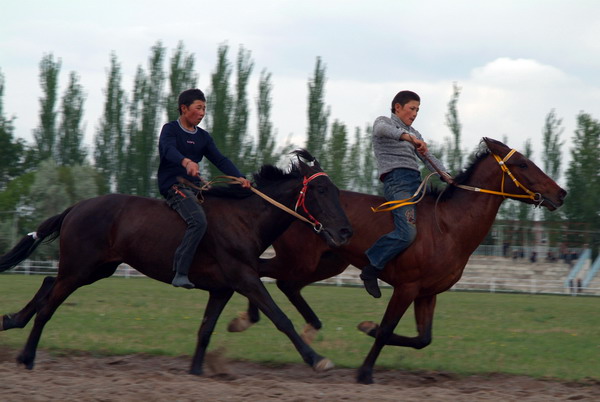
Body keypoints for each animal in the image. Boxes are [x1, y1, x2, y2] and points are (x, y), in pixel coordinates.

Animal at [0, 149, 354, 376]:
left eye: (335, 189)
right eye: (320, 189)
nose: (345, 231)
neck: (245, 219)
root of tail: (76, 207)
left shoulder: (223, 289)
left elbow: (206, 329)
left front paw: (196, 370)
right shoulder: (246, 279)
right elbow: (282, 319)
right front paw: (317, 359)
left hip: (96, 268)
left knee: (48, 283)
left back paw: (11, 320)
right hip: (80, 268)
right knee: (48, 306)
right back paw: (26, 356)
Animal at [226, 138, 568, 384]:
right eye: (523, 163)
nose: (561, 193)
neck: (448, 225)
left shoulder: (428, 293)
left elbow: (423, 339)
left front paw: (367, 328)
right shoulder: (407, 287)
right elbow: (388, 328)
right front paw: (365, 369)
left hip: (326, 262)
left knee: (285, 283)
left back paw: (306, 325)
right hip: (299, 259)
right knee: (260, 271)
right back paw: (248, 319)